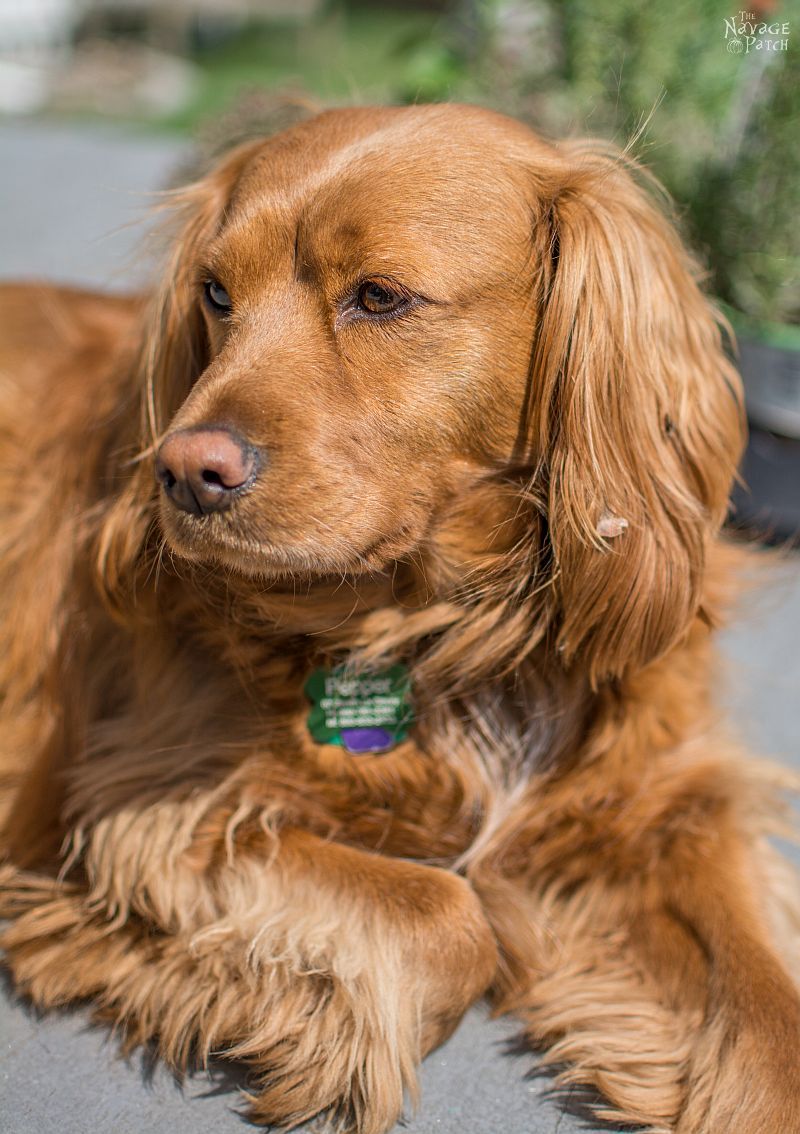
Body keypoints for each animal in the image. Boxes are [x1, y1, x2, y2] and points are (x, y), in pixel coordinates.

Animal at [1, 104, 798, 1134]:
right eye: (215, 293)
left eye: (379, 298)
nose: (182, 472)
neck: (453, 631)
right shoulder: (146, 804)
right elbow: (449, 917)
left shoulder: (665, 807)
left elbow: (772, 1036)